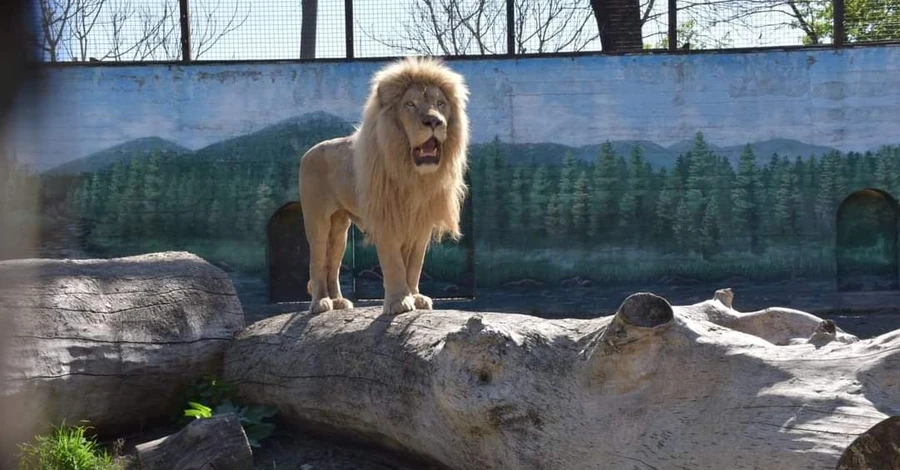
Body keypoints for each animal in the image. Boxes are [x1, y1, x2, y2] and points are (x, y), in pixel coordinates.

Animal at [298, 57, 472, 316]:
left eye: (440, 103)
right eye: (410, 104)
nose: (434, 121)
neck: (413, 174)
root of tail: (308, 152)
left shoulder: (420, 223)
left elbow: (414, 265)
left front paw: (415, 296)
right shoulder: (386, 217)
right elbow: (394, 262)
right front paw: (399, 301)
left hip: (340, 229)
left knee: (333, 263)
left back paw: (339, 301)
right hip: (317, 220)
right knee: (317, 261)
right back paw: (321, 302)